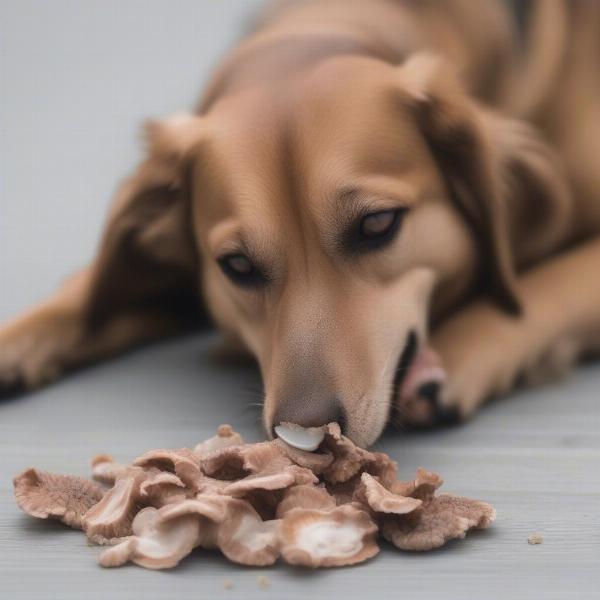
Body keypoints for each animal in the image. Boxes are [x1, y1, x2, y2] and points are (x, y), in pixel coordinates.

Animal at [1, 0, 600, 448]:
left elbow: (538, 292)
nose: (306, 433)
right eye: (236, 265)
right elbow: (87, 296)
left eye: (378, 224)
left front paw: (455, 357)